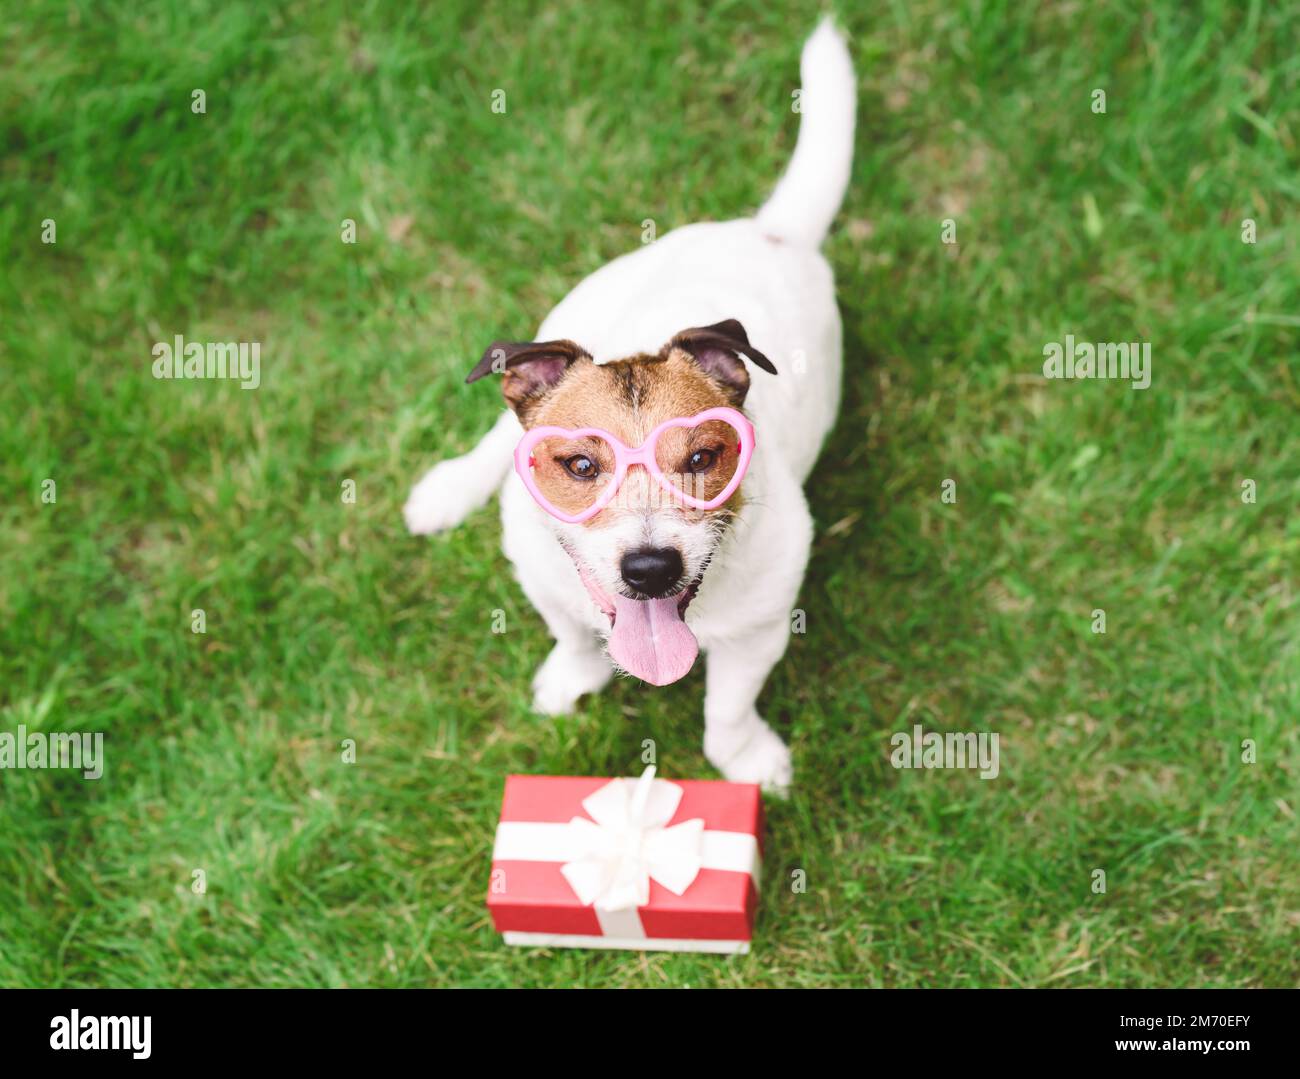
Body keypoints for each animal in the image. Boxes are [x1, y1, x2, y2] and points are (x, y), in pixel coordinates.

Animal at [403, 19, 852, 795]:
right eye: (581, 465)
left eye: (703, 456)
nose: (650, 569)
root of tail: (768, 231)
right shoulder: (547, 583)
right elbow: (573, 636)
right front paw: (569, 679)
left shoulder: (760, 629)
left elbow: (729, 709)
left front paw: (748, 758)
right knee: (492, 436)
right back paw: (448, 489)